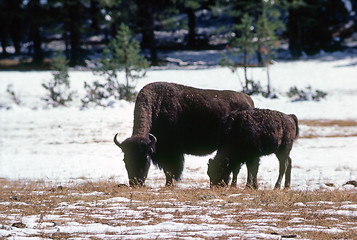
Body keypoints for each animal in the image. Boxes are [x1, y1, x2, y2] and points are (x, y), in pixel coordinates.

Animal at [114, 81, 253, 187]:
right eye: (125, 159)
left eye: (146, 158)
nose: (136, 182)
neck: (157, 107)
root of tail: (249, 100)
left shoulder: (171, 152)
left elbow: (170, 171)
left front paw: (168, 185)